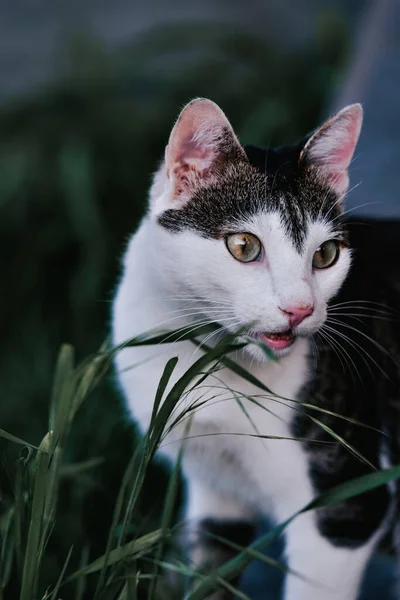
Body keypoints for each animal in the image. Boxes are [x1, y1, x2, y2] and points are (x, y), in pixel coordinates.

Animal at [110, 96, 400, 596]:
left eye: (326, 255)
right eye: (244, 246)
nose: (300, 309)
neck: (215, 365)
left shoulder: (347, 506)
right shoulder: (215, 495)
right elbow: (207, 573)